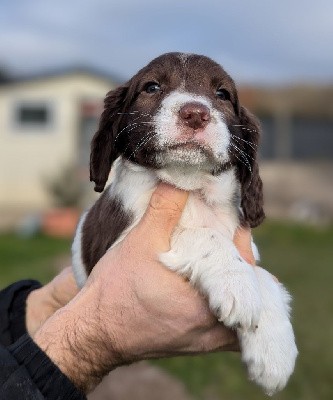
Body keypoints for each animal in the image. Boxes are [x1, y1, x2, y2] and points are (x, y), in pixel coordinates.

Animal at [71, 52, 296, 394]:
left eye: (222, 94)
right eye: (151, 87)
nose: (195, 114)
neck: (191, 187)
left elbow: (263, 277)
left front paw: (275, 353)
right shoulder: (119, 244)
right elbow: (203, 235)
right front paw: (236, 283)